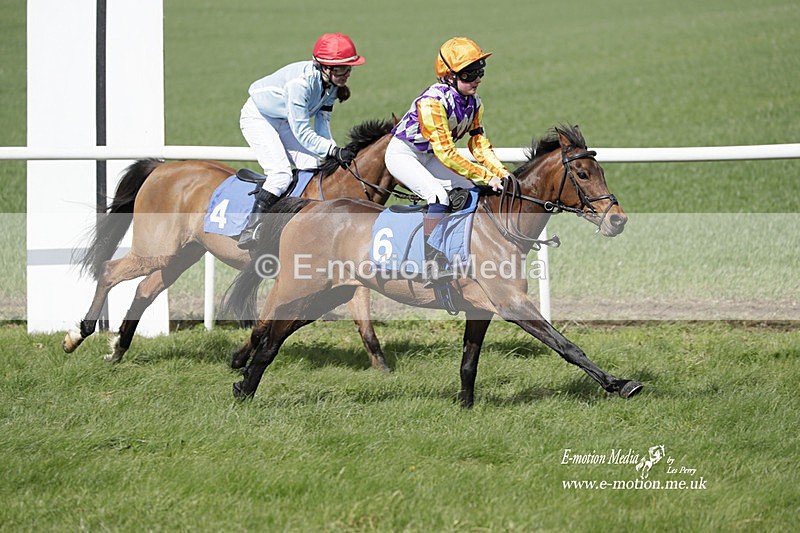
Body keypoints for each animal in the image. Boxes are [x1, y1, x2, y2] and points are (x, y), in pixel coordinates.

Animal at [62, 119, 399, 370]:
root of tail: (160, 168)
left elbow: (365, 323)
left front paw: (383, 370)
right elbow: (272, 318)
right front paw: (241, 358)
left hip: (182, 254)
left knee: (144, 290)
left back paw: (118, 348)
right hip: (156, 249)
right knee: (109, 271)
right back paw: (78, 335)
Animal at [226, 124, 643, 407]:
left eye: (601, 172)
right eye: (584, 174)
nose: (618, 220)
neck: (500, 224)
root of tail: (309, 206)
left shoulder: (481, 308)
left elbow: (469, 361)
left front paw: (465, 406)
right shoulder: (511, 302)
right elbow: (566, 345)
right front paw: (620, 383)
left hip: (330, 293)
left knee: (277, 333)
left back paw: (244, 380)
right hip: (303, 286)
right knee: (269, 333)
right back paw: (244, 384)